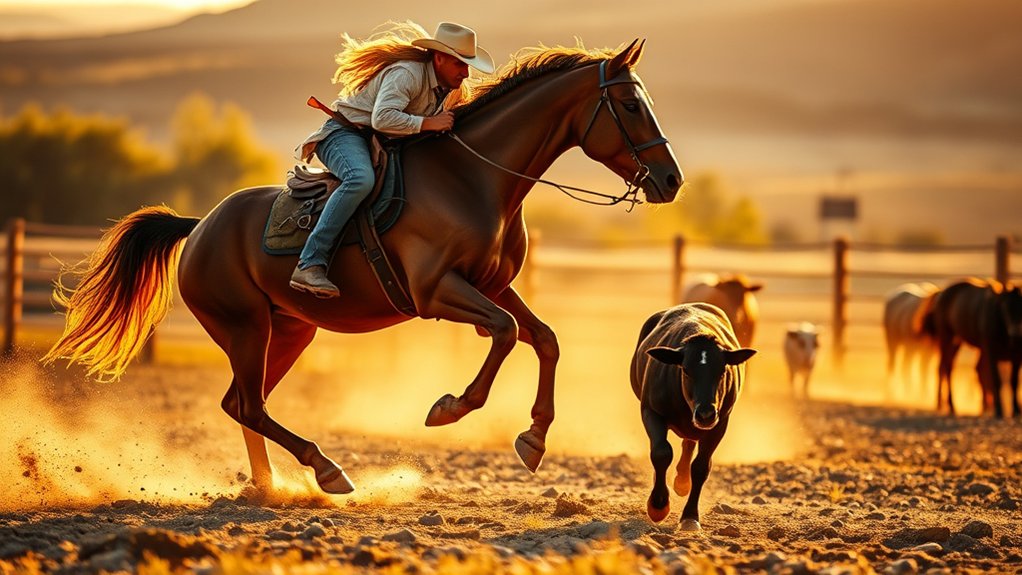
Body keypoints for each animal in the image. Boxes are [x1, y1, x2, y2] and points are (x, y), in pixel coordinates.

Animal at [42, 40, 683, 495]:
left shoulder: (493, 286)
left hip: (288, 331)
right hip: (245, 327)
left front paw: (533, 438)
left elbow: (544, 338)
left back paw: (270, 486)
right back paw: (325, 471)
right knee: (248, 404)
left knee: (242, 404)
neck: (474, 178)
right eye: (630, 104)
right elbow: (503, 333)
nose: (671, 180)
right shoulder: (435, 292)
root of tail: (199, 227)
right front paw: (450, 408)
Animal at [630, 303, 755, 531]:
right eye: (686, 371)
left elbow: (701, 467)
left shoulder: (719, 424)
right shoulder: (651, 411)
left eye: (722, 371)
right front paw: (658, 506)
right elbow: (661, 453)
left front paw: (690, 517)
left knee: (689, 443)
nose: (705, 414)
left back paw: (682, 481)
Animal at [917, 278, 1022, 417]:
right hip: (947, 338)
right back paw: (950, 405)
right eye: (1005, 308)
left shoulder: (1017, 357)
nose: (1015, 336)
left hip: (958, 341)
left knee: (951, 367)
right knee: (946, 368)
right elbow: (996, 380)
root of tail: (941, 293)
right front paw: (998, 411)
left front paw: (1016, 410)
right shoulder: (991, 353)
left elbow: (1014, 381)